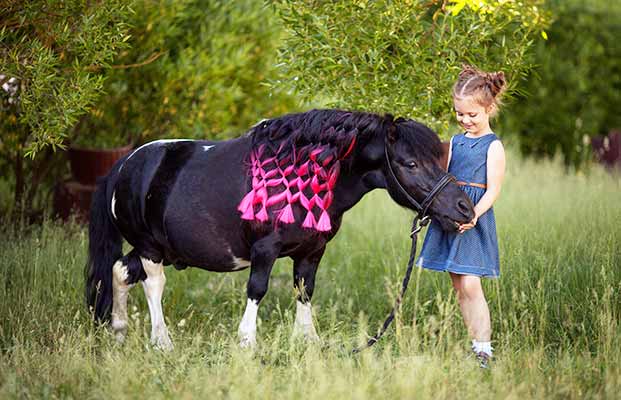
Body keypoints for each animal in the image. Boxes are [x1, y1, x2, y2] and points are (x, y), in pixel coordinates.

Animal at [82, 108, 470, 348]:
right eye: (411, 163)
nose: (463, 208)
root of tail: (123, 166)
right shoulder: (264, 251)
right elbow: (257, 289)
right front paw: (247, 341)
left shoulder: (312, 252)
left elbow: (304, 290)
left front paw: (308, 341)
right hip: (151, 248)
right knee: (153, 284)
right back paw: (161, 341)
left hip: (159, 248)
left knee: (119, 271)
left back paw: (119, 332)